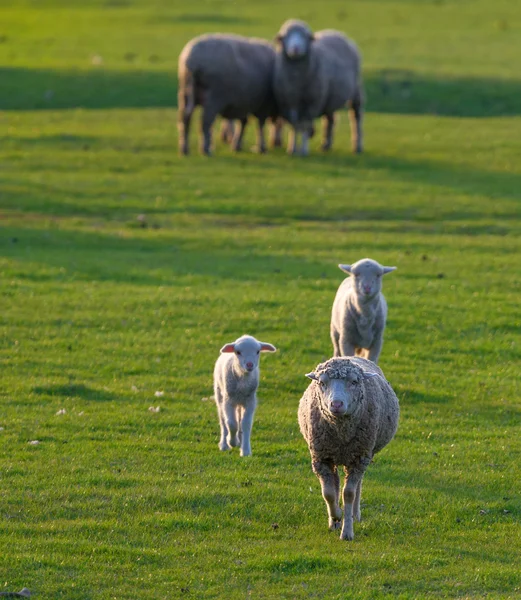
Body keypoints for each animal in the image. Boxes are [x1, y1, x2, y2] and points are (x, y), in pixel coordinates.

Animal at [270, 20, 364, 157]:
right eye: (285, 36)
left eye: (304, 36)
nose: (295, 49)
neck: (297, 80)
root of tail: (337, 32)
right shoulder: (290, 102)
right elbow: (294, 126)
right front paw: (292, 149)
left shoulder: (312, 103)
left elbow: (305, 126)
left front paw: (303, 151)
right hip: (330, 97)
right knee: (330, 119)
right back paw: (326, 145)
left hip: (356, 91)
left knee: (356, 117)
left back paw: (357, 146)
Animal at [296, 358, 398, 540]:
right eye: (322, 383)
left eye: (354, 382)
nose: (336, 404)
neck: (341, 432)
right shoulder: (320, 459)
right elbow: (328, 493)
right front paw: (336, 515)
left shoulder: (358, 458)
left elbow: (349, 494)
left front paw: (347, 532)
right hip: (334, 456)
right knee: (335, 483)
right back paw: (334, 521)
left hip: (362, 456)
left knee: (357, 485)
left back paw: (355, 515)